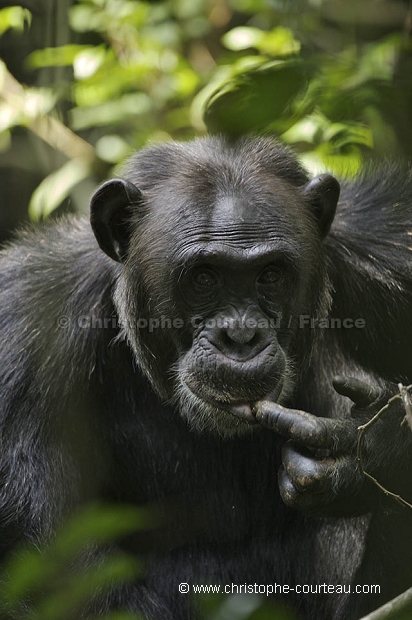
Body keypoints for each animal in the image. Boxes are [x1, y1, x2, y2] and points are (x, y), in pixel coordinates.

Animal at [0, 137, 412, 620]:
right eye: (203, 277)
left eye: (271, 275)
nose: (241, 335)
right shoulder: (21, 342)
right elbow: (57, 584)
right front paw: (366, 451)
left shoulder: (393, 245)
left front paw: (370, 450)